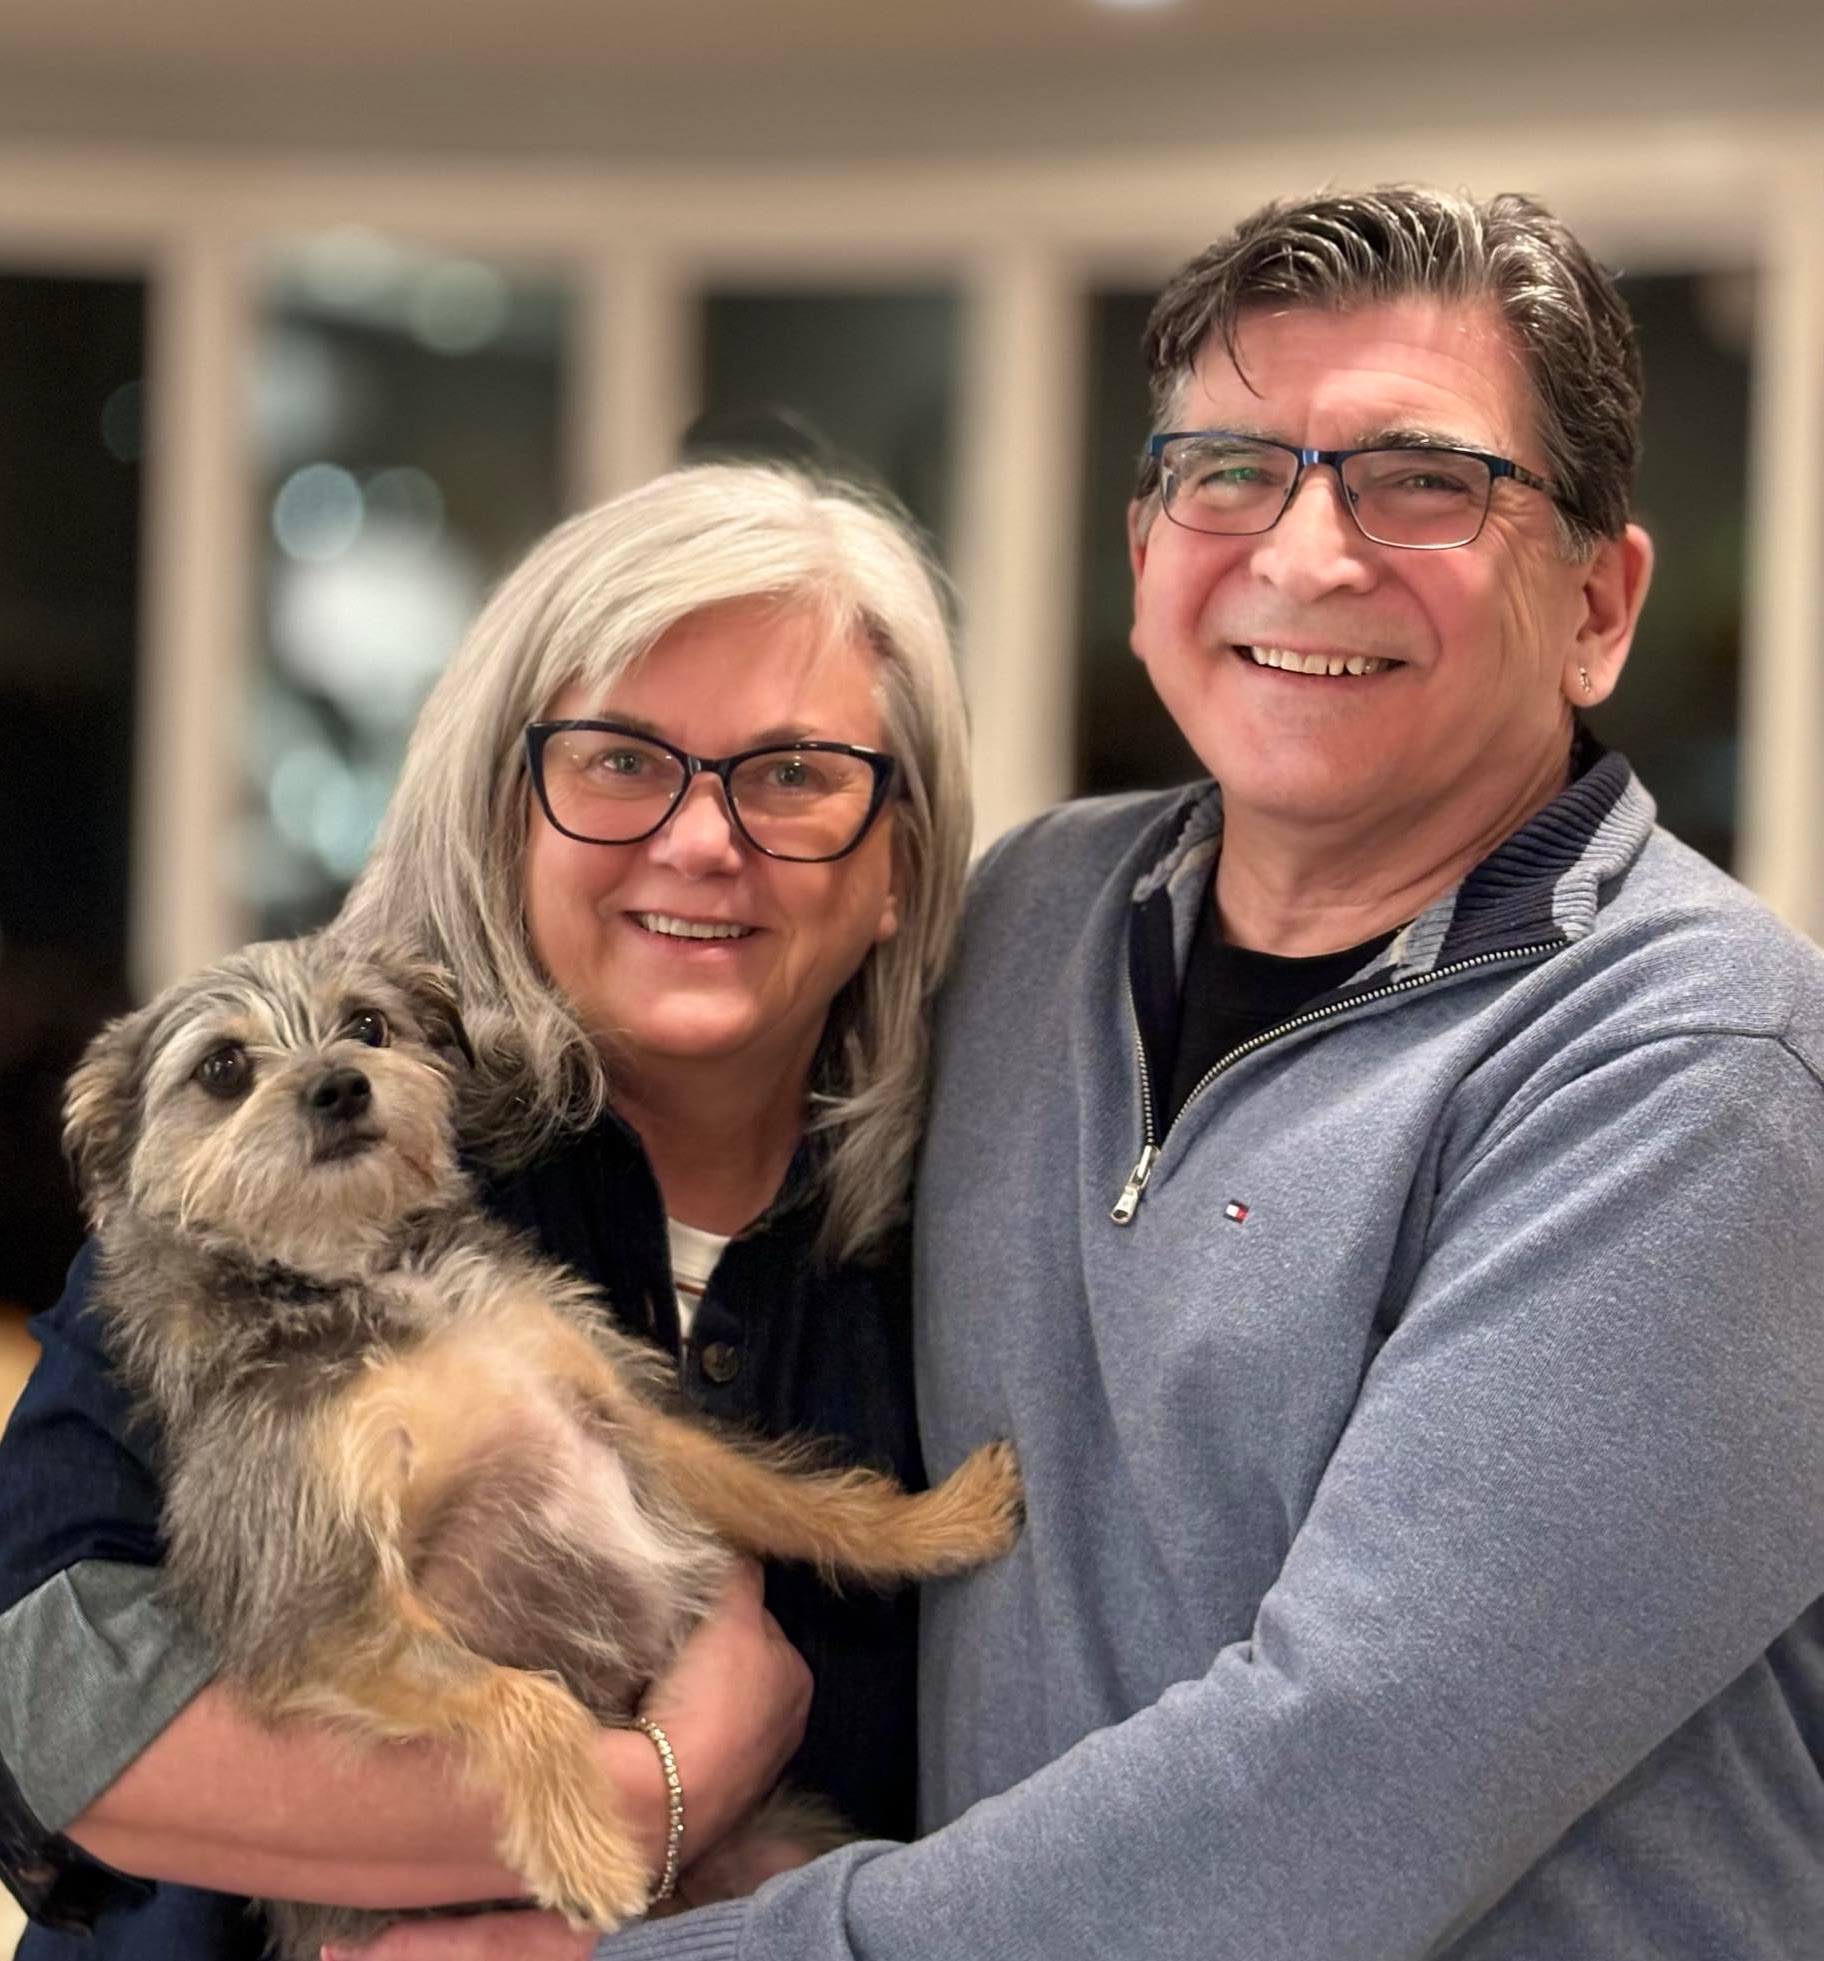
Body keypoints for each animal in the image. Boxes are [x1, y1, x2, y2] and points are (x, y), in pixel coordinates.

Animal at [60, 933, 1019, 1961]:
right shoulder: (307, 1603)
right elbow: (522, 1698)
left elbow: (797, 1499)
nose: (340, 1085)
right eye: (224, 1068)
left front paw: (937, 1524)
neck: (370, 1278)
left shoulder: (618, 1408)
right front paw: (584, 1842)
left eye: (368, 1024)